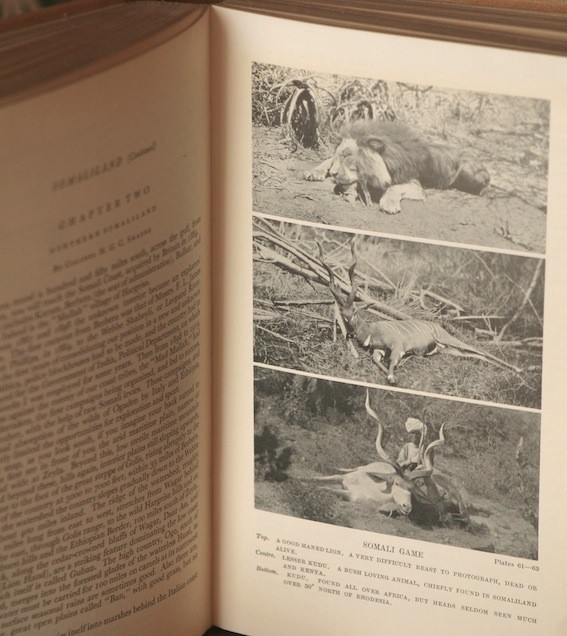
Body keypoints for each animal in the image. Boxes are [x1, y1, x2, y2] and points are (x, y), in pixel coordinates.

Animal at [304, 120, 490, 215]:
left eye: (347, 156)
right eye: (340, 155)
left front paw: (389, 204)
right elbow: (328, 158)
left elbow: (395, 187)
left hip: (469, 171)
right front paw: (316, 171)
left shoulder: (415, 184)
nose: (334, 174)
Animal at [318, 242, 520, 382]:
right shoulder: (379, 350)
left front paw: (392, 378)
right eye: (342, 311)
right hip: (448, 349)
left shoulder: (397, 346)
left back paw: (519, 370)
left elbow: (392, 363)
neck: (370, 331)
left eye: (354, 311)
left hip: (448, 339)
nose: (349, 328)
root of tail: (437, 326)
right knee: (475, 354)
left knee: (481, 351)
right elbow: (376, 359)